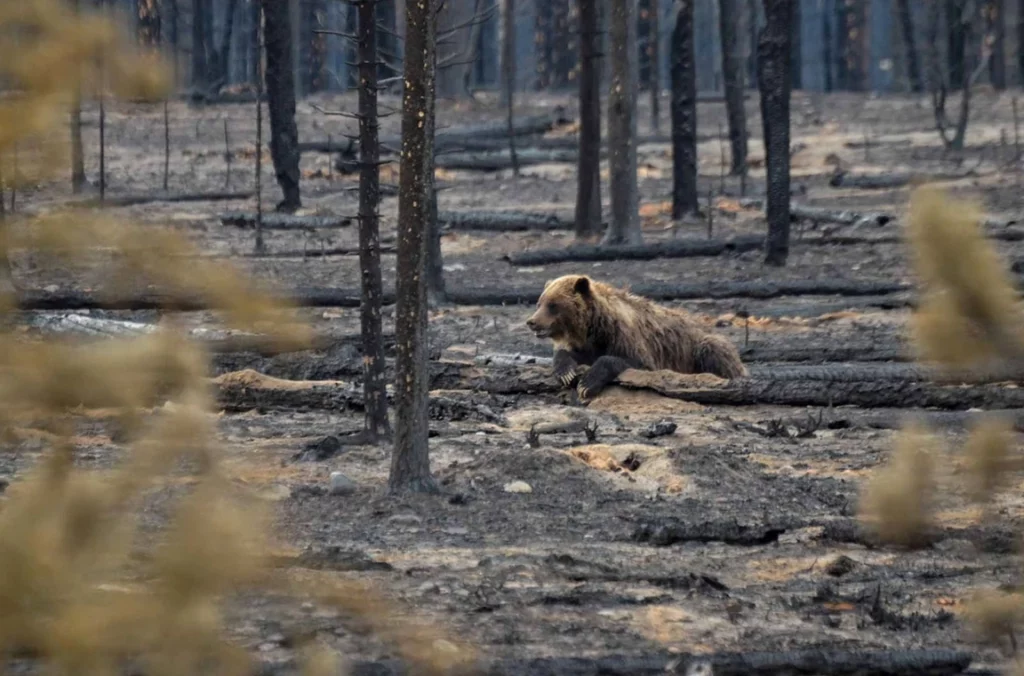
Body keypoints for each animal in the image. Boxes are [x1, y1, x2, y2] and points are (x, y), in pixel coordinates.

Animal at [524, 274, 749, 399]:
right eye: (539, 302)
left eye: (553, 305)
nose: (532, 321)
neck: (591, 326)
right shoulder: (586, 345)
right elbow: (569, 355)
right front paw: (566, 373)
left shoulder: (624, 337)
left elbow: (631, 361)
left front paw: (586, 384)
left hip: (701, 346)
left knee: (714, 351)